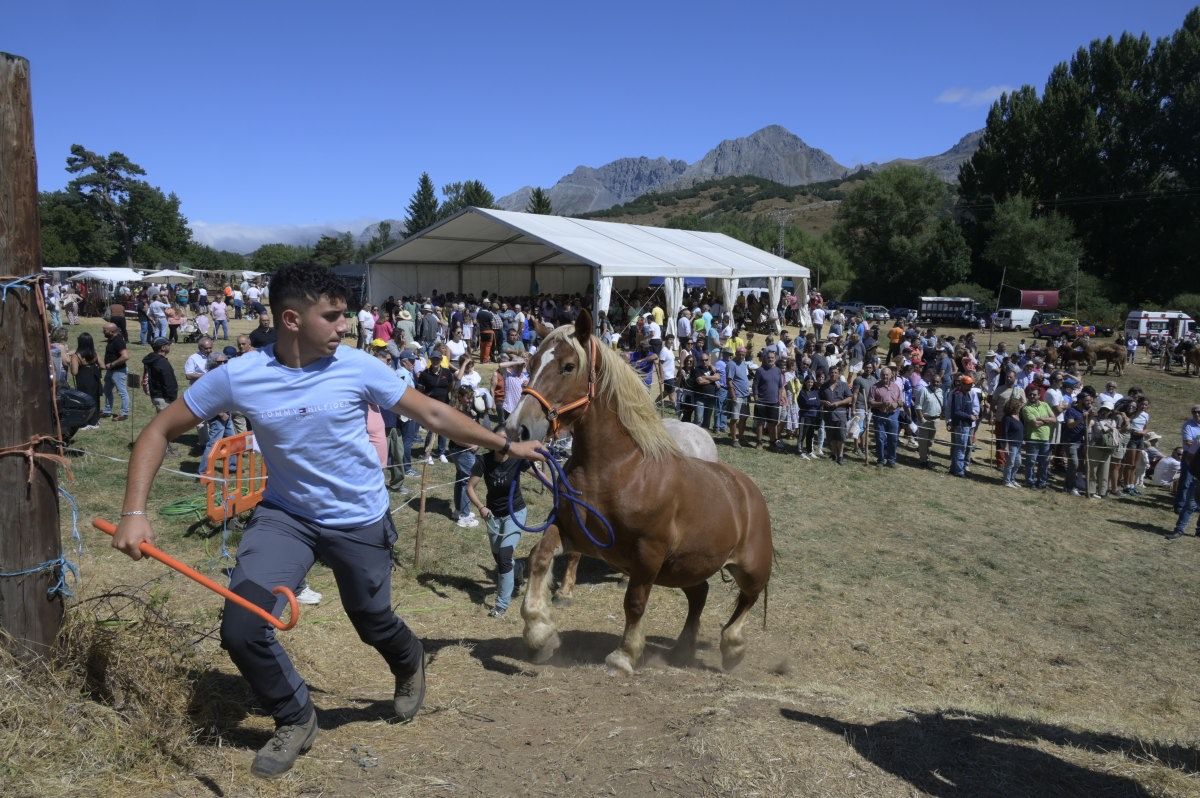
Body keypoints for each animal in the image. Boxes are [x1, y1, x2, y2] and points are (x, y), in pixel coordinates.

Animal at [508, 312, 772, 672]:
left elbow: (634, 601)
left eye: (567, 366)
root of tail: (750, 491)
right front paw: (539, 633)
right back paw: (682, 649)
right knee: (700, 594)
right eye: (532, 362)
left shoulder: (648, 554)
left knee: (747, 599)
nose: (517, 427)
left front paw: (624, 654)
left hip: (750, 568)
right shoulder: (572, 531)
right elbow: (539, 558)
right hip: (686, 566)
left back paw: (732, 647)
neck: (619, 470)